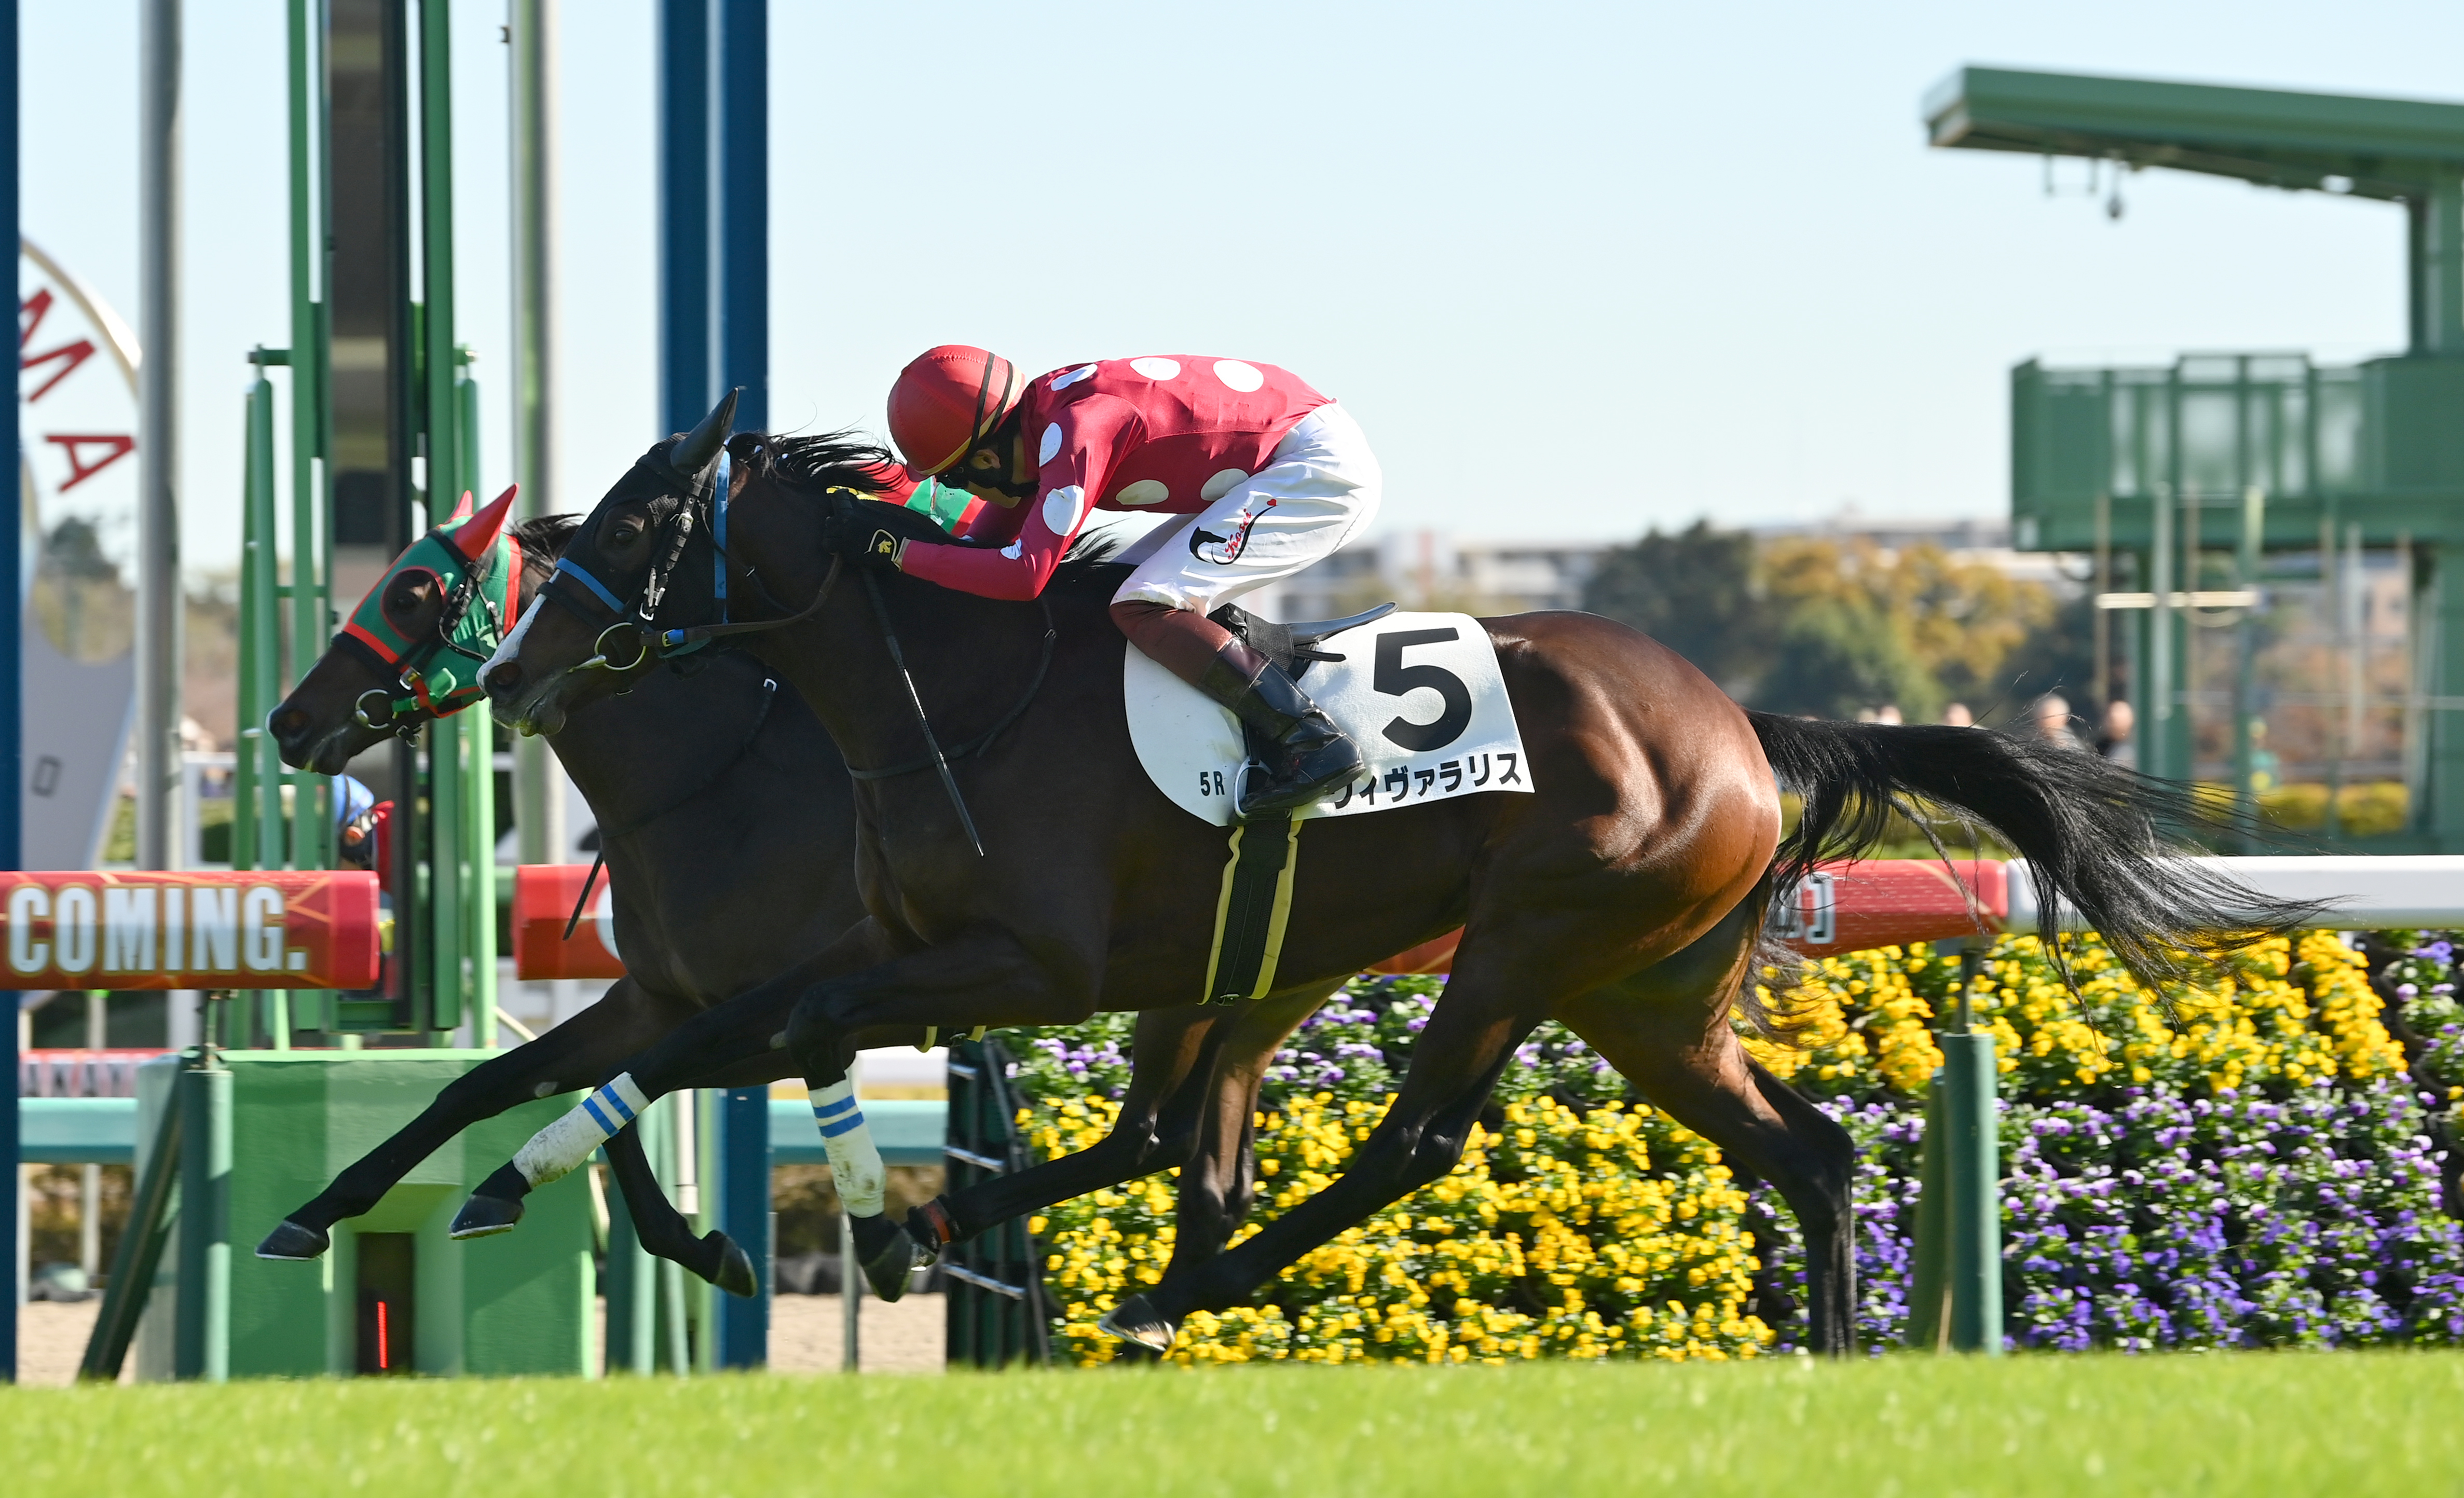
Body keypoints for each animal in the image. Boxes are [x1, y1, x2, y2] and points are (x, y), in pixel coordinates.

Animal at [252, 494, 1347, 1303]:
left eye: (411, 590)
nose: (289, 720)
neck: (714, 782)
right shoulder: (659, 998)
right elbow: (492, 1085)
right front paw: (317, 1211)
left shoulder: (801, 1010)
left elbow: (621, 1098)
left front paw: (695, 1241)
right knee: (1178, 1145)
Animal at [473, 394, 2300, 1354]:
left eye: (630, 528)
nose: (512, 667)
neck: (944, 696)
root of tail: (1732, 715)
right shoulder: (896, 950)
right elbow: (714, 1031)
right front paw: (581, 1180)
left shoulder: (1030, 962)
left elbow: (760, 1032)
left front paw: (881, 1221)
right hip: (1645, 993)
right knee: (1811, 1147)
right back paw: (1839, 1350)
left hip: (1532, 932)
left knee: (1412, 1138)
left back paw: (1182, 1284)